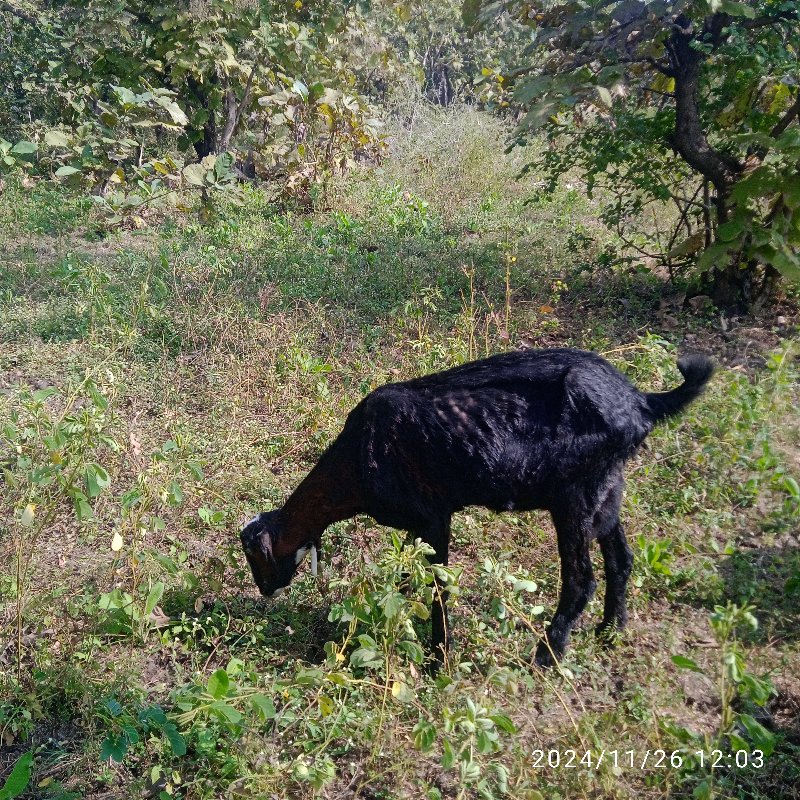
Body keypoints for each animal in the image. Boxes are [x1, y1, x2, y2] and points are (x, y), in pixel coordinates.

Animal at [241, 346, 716, 664]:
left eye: (255, 558)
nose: (265, 591)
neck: (360, 456)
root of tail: (640, 401)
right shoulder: (418, 527)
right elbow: (408, 577)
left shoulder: (435, 517)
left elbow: (438, 586)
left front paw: (438, 659)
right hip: (607, 491)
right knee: (621, 558)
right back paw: (610, 631)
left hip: (574, 499)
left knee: (581, 579)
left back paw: (546, 654)